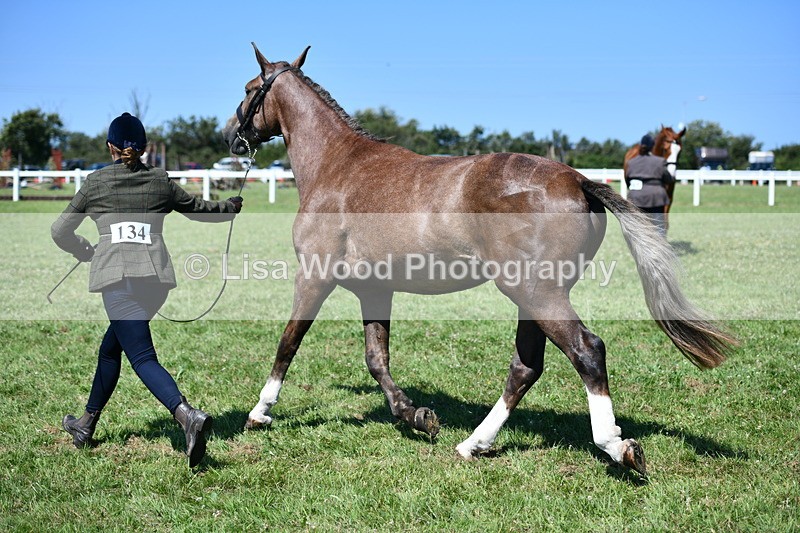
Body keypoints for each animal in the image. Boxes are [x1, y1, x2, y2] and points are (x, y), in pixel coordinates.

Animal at [223, 44, 733, 476]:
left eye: (248, 89)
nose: (231, 134)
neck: (338, 167)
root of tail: (578, 181)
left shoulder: (314, 277)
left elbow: (288, 342)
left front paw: (260, 412)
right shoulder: (375, 288)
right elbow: (376, 358)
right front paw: (415, 415)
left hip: (537, 293)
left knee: (586, 351)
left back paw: (615, 445)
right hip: (533, 298)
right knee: (526, 367)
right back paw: (475, 443)